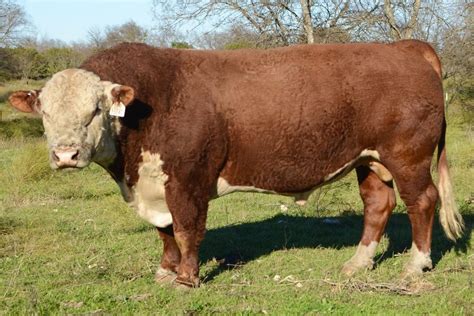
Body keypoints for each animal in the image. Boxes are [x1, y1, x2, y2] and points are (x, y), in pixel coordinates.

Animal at [9, 39, 464, 286]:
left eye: (95, 110)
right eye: (45, 113)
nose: (65, 155)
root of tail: (403, 48)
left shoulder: (188, 178)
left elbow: (187, 229)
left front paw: (187, 278)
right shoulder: (155, 184)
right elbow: (165, 231)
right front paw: (165, 270)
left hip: (407, 156)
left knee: (422, 201)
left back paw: (415, 265)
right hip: (369, 160)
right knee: (378, 205)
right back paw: (358, 263)